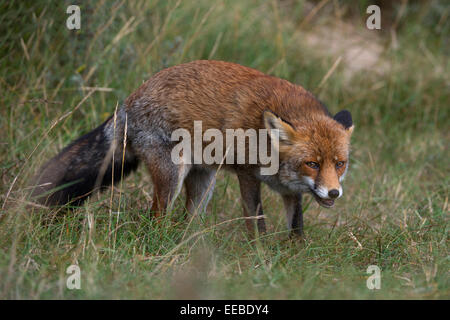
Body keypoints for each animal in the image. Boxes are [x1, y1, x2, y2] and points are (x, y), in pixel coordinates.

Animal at [32, 60, 356, 236]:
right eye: (312, 164)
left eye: (339, 163)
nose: (334, 193)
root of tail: (128, 102)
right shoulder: (247, 175)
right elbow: (257, 221)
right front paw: (261, 254)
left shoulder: (291, 191)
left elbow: (296, 228)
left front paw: (293, 255)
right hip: (172, 177)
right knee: (156, 219)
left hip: (203, 182)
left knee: (188, 222)